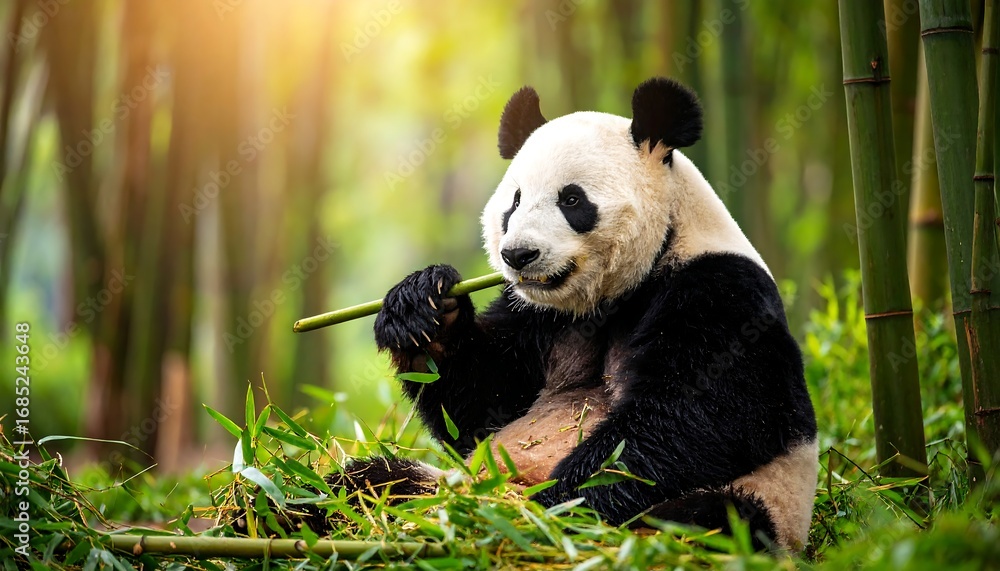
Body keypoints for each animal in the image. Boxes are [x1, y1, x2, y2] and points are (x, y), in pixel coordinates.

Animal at [350, 77, 818, 551]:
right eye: (514, 202)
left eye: (572, 200)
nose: (518, 255)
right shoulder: (538, 316)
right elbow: (481, 406)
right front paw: (424, 309)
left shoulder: (721, 291)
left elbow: (701, 415)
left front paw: (552, 505)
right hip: (431, 482)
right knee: (370, 481)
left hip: (764, 503)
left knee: (711, 517)